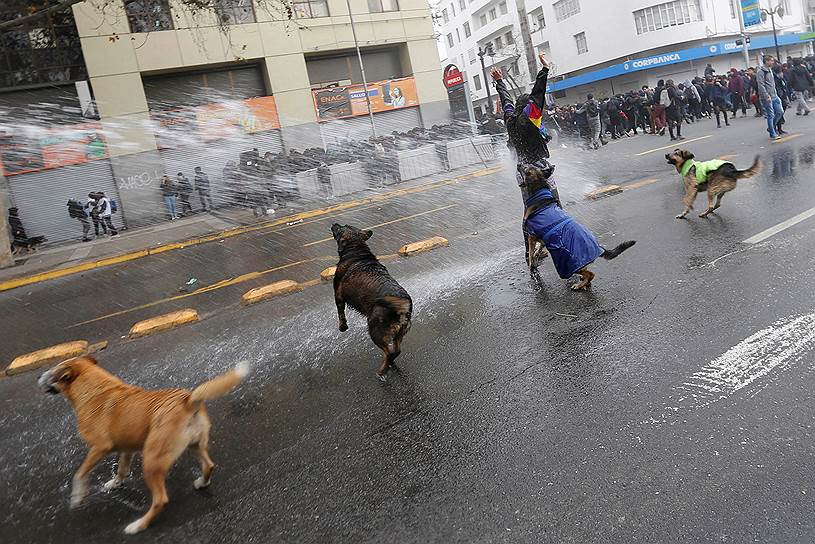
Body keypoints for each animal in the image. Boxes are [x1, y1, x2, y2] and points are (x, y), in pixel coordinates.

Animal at [38, 354, 247, 532]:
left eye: (52, 373)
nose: (39, 376)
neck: (94, 390)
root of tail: (187, 400)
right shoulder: (126, 448)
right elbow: (121, 470)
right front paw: (114, 483)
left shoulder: (99, 448)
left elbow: (79, 474)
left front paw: (77, 497)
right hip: (195, 445)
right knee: (209, 465)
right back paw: (203, 482)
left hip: (151, 461)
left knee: (161, 500)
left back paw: (138, 525)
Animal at [330, 223, 412, 380]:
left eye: (342, 227)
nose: (334, 223)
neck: (356, 250)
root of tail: (403, 307)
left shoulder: (338, 295)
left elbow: (340, 313)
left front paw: (343, 327)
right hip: (399, 333)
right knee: (395, 351)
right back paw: (389, 364)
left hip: (375, 331)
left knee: (389, 352)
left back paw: (382, 371)